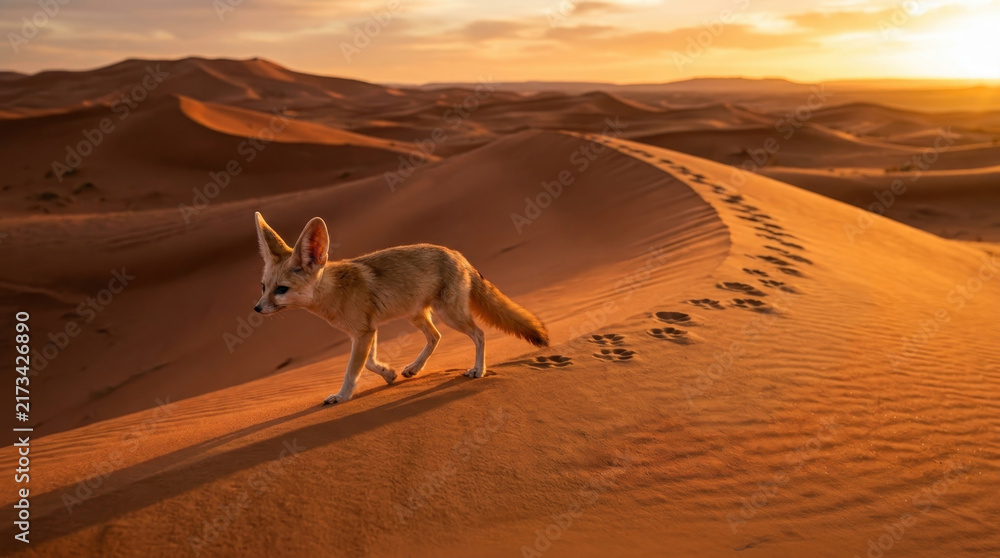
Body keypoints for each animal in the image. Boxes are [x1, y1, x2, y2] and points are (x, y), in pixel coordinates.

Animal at [253, 212, 549, 405]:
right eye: (263, 286)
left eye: (281, 290)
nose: (256, 308)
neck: (334, 291)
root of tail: (457, 254)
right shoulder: (367, 330)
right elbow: (369, 363)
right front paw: (389, 374)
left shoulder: (363, 333)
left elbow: (353, 370)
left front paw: (342, 396)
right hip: (417, 315)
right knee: (436, 337)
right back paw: (413, 369)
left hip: (450, 315)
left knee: (479, 334)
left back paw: (478, 370)